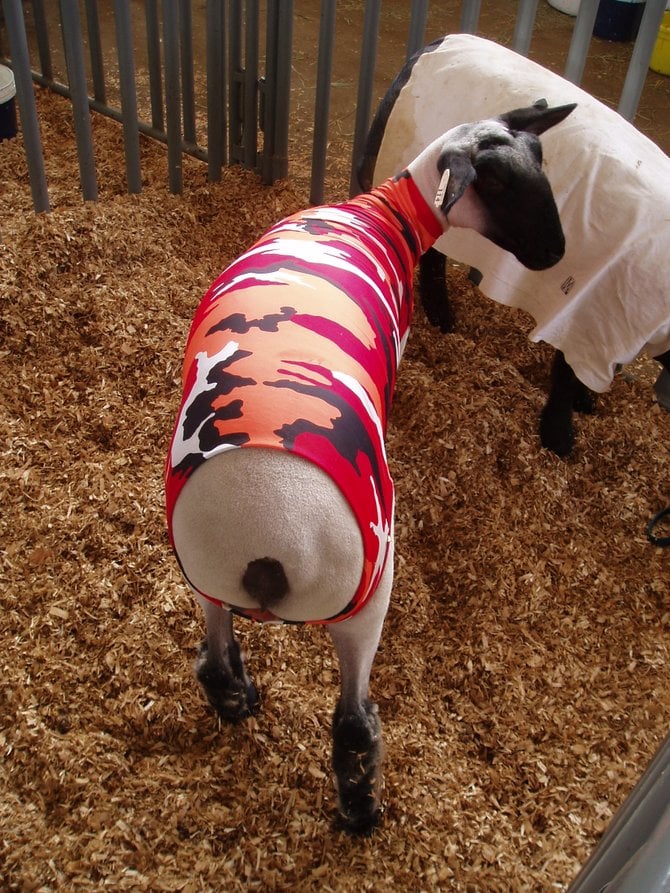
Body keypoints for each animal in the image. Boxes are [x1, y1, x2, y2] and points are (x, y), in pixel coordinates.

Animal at [165, 104, 576, 836]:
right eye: (501, 184)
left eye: (542, 162)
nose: (556, 254)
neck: (383, 214)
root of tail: (265, 551)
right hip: (369, 591)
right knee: (353, 720)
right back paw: (362, 810)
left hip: (200, 571)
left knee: (211, 654)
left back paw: (239, 699)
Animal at [362, 34, 670, 456]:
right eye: (492, 181)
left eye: (542, 159)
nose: (557, 251)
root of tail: (439, 40)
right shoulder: (592, 303)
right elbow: (566, 368)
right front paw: (559, 433)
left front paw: (586, 400)